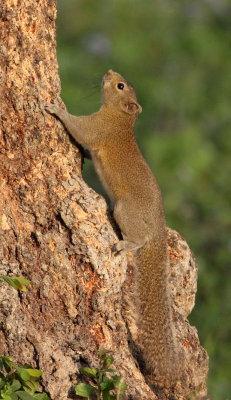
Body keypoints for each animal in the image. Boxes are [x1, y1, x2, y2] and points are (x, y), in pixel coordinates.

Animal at [44, 69, 182, 388]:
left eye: (120, 86)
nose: (108, 72)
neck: (121, 119)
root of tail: (158, 229)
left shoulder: (99, 128)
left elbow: (81, 130)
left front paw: (58, 109)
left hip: (125, 211)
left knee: (138, 239)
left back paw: (125, 244)